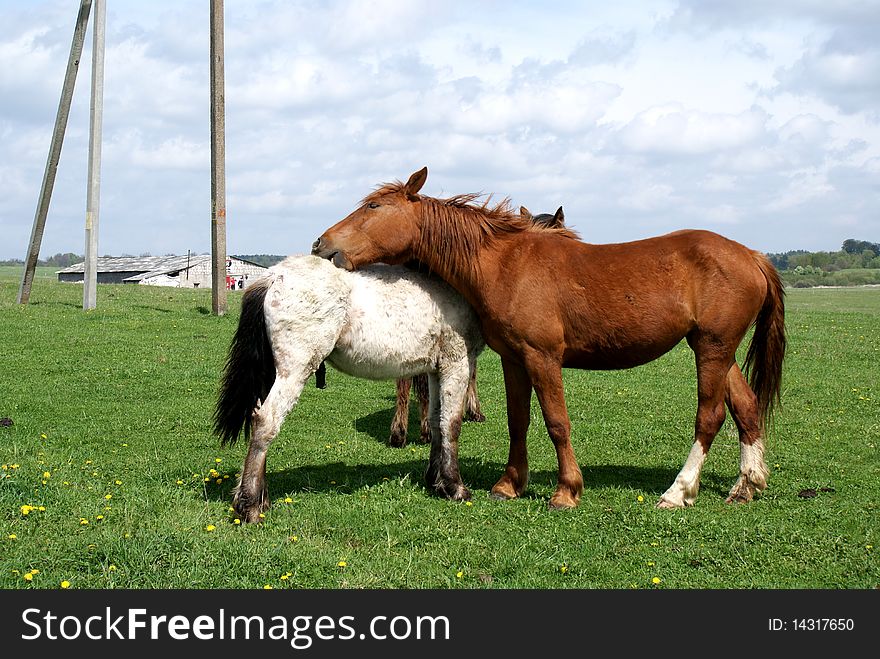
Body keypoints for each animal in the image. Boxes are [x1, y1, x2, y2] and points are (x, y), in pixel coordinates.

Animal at [314, 169, 784, 510]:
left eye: (373, 206)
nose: (321, 245)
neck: (506, 264)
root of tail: (752, 255)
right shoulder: (514, 359)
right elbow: (518, 421)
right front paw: (509, 484)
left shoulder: (543, 358)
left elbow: (557, 422)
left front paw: (566, 491)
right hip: (718, 350)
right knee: (745, 407)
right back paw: (747, 485)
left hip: (711, 348)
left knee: (710, 417)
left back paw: (679, 491)